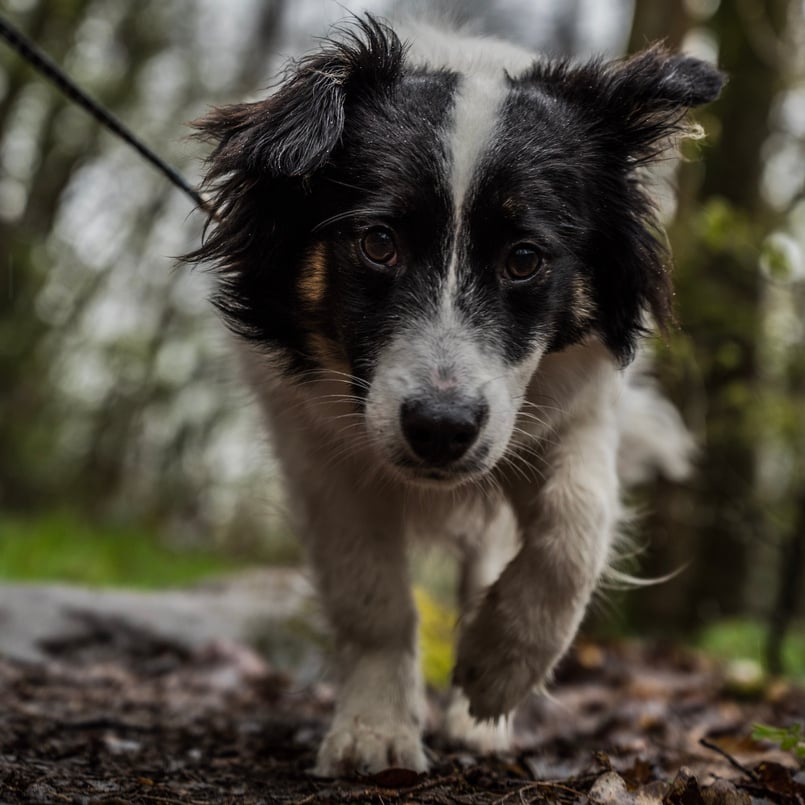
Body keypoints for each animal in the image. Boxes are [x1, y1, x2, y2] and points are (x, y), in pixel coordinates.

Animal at [187, 12, 724, 776]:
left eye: (524, 258)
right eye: (377, 242)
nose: (441, 430)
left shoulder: (571, 409)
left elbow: (575, 526)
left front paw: (500, 668)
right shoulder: (315, 446)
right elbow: (369, 594)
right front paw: (374, 732)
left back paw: (480, 716)